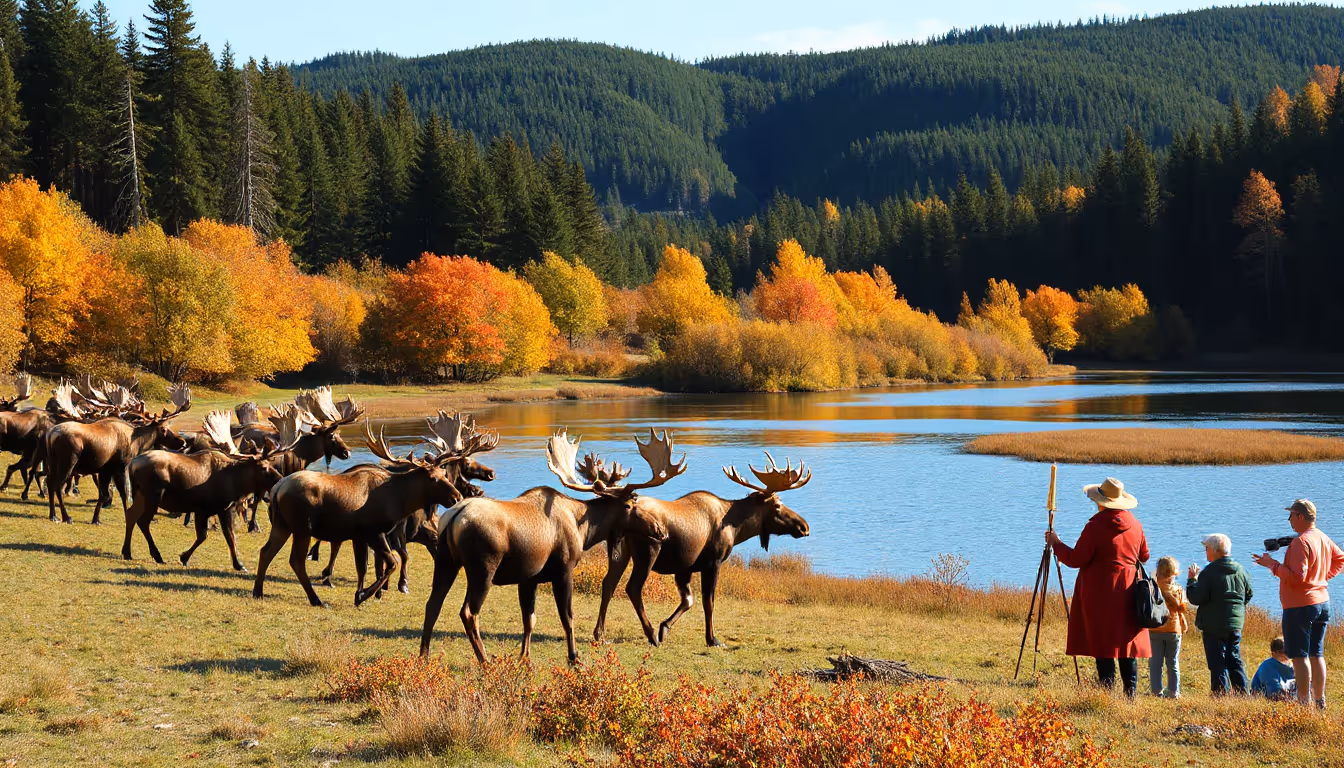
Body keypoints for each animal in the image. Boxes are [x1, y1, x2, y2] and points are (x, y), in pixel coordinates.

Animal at [43, 383, 191, 524]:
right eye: (163, 429)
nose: (182, 442)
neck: (136, 443)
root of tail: (51, 434)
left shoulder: (105, 470)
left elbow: (103, 495)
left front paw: (96, 519)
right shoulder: (121, 467)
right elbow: (124, 493)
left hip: (52, 462)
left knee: (50, 483)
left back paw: (53, 516)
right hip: (68, 462)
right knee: (57, 486)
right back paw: (66, 517)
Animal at [122, 409, 300, 571]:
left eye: (270, 464)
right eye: (263, 467)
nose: (280, 479)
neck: (236, 482)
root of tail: (132, 465)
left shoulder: (224, 509)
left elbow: (230, 536)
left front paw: (238, 564)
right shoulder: (203, 509)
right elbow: (204, 536)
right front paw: (184, 557)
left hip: (140, 496)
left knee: (130, 514)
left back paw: (127, 552)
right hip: (153, 496)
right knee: (142, 521)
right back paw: (156, 555)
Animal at [253, 415, 494, 607]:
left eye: (445, 475)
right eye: (433, 478)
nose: (456, 497)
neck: (399, 500)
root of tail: (277, 489)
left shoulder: (360, 536)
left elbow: (364, 567)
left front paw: (361, 593)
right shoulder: (374, 532)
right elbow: (391, 563)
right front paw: (365, 594)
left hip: (282, 526)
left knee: (265, 551)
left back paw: (258, 591)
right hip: (302, 528)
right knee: (296, 561)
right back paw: (316, 599)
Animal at [418, 428, 680, 664]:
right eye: (630, 504)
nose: (660, 529)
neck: (584, 530)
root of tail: (454, 517)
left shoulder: (528, 578)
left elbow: (529, 619)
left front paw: (524, 658)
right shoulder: (563, 570)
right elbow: (568, 617)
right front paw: (574, 657)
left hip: (445, 561)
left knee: (432, 604)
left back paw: (424, 657)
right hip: (482, 569)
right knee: (469, 613)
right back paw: (485, 661)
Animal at [592, 452, 812, 648]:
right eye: (777, 505)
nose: (804, 526)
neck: (736, 529)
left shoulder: (684, 568)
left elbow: (689, 600)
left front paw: (665, 627)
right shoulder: (712, 562)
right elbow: (709, 601)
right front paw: (712, 639)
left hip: (620, 553)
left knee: (608, 584)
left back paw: (600, 634)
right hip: (648, 552)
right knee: (633, 588)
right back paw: (650, 635)